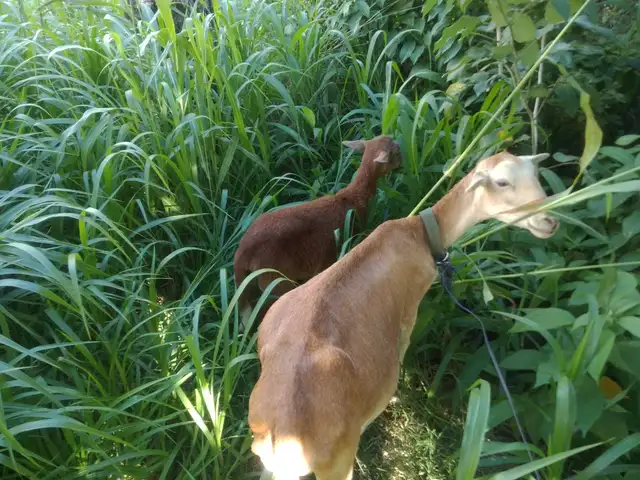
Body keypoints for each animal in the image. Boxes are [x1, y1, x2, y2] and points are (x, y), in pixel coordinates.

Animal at [248, 151, 559, 480]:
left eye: (536, 174)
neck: (420, 233)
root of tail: (278, 431)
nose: (550, 220)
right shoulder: (410, 308)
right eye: (501, 182)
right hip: (337, 461)